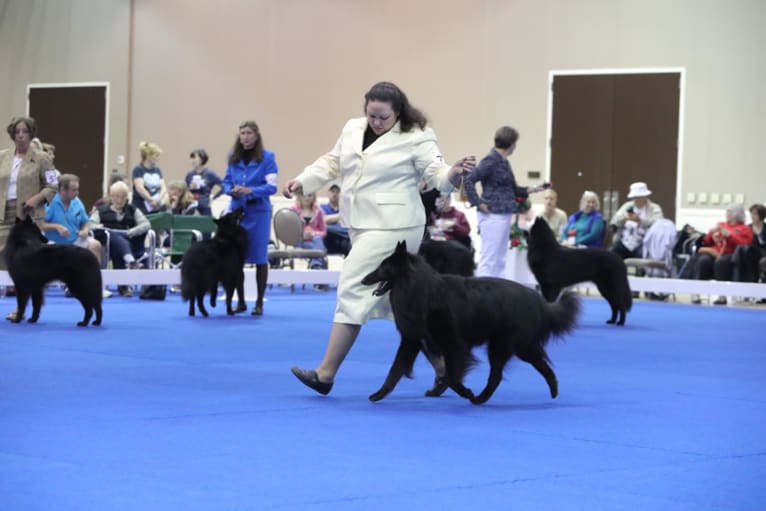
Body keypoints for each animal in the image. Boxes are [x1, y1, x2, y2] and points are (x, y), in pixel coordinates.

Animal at [364, 242, 580, 406]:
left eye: (383, 267)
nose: (364, 279)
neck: (419, 289)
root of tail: (540, 303)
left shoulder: (455, 346)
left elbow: (452, 377)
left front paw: (464, 392)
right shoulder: (412, 340)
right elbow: (395, 370)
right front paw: (379, 394)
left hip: (507, 346)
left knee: (502, 374)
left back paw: (481, 398)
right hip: (512, 347)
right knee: (523, 369)